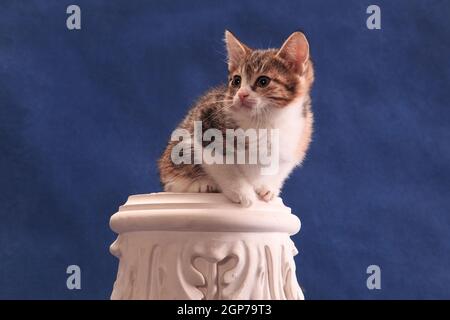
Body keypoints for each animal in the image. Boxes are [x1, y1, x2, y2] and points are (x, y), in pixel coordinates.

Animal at [160, 30, 314, 208]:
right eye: (236, 81)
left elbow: (282, 168)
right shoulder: (204, 121)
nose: (241, 94)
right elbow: (222, 165)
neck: (267, 120)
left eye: (263, 81)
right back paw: (202, 185)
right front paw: (242, 192)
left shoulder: (299, 138)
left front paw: (268, 188)